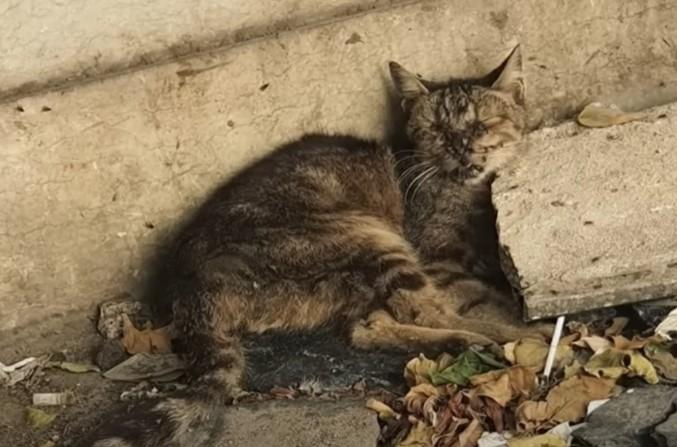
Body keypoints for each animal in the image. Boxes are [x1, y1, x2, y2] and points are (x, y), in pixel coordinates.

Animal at [78, 45, 548, 447]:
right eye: (435, 129)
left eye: (481, 125)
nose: (461, 146)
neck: (466, 191)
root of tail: (193, 292)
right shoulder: (436, 258)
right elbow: (476, 295)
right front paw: (513, 319)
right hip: (364, 233)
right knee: (414, 316)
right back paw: (503, 339)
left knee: (366, 328)